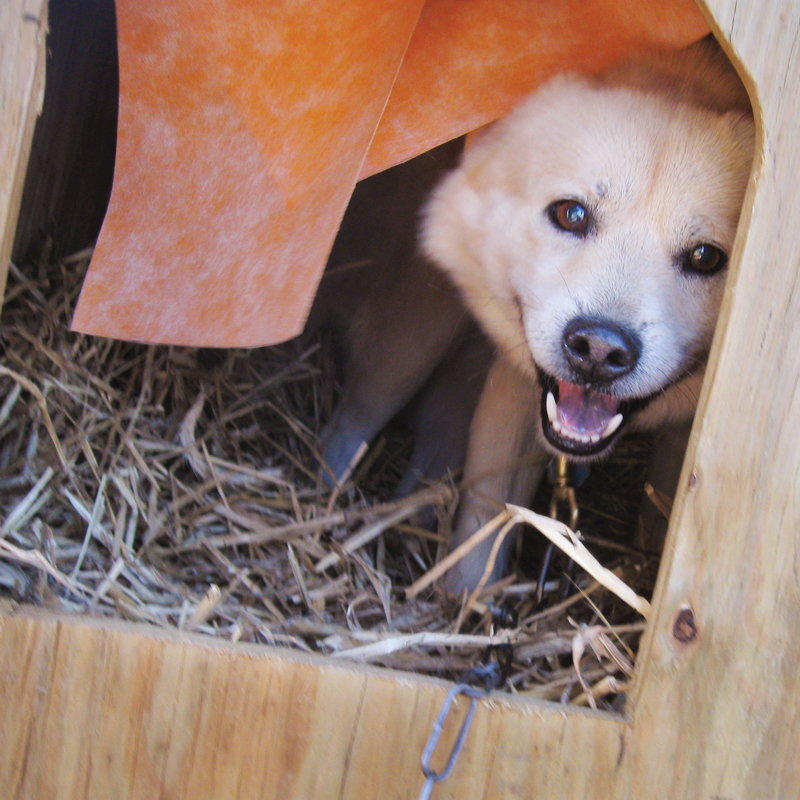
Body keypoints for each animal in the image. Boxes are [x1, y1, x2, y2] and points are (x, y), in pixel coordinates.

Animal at [316, 40, 752, 596]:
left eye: (705, 257)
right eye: (571, 214)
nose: (598, 350)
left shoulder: (681, 445)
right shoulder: (517, 387)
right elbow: (488, 510)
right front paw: (467, 599)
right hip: (415, 336)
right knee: (350, 424)